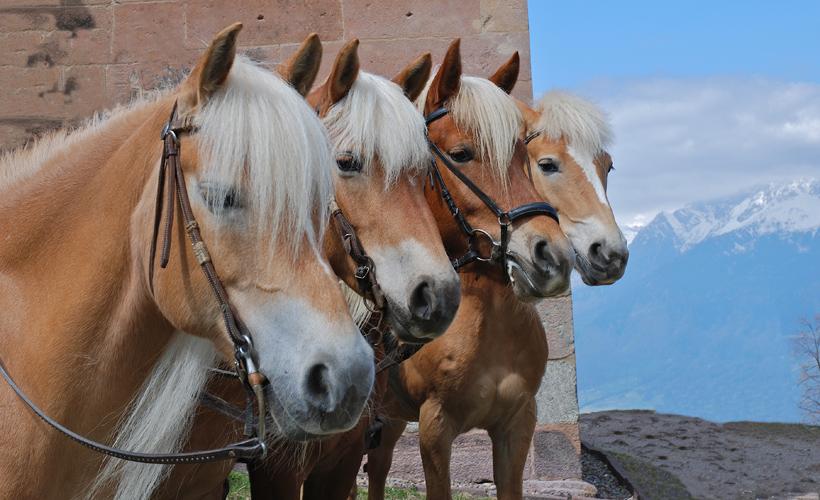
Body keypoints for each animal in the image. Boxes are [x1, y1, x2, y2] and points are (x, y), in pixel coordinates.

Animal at [361, 46, 627, 500]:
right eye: (548, 164)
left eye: (606, 166)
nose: (611, 254)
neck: (490, 318)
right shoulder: (436, 429)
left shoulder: (517, 424)